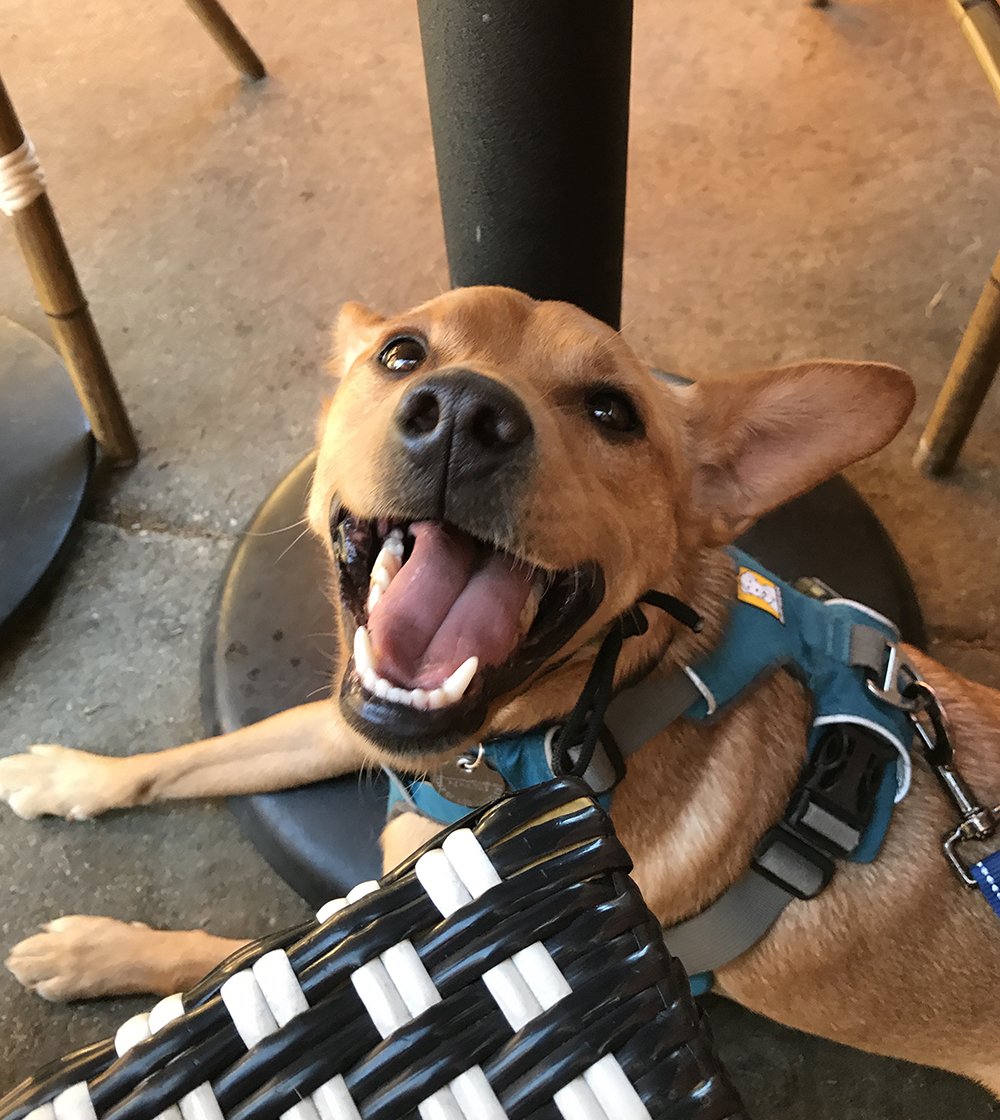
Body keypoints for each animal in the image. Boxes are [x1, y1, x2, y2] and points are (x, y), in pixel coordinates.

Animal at [1, 286, 998, 1093]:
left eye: (613, 411)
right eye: (401, 353)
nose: (463, 412)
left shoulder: (397, 914)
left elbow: (233, 965)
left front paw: (98, 954)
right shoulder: (349, 721)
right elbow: (201, 757)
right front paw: (70, 778)